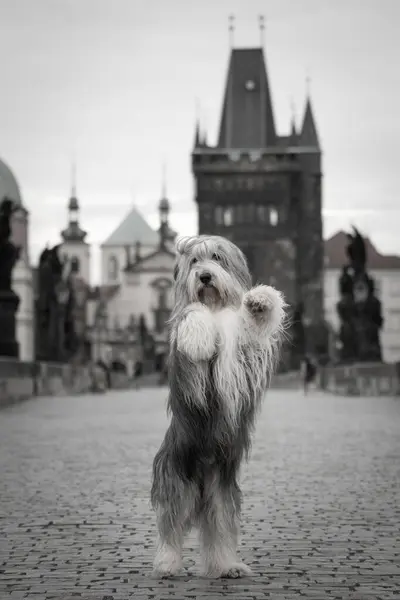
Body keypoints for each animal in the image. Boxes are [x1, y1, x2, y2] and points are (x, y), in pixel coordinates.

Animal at [149, 233, 284, 576]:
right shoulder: (190, 371)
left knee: (219, 529)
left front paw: (261, 300)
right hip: (178, 479)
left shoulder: (244, 356)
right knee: (171, 526)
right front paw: (198, 337)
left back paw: (227, 566)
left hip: (221, 491)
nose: (205, 277)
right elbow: (192, 312)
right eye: (195, 261)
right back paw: (167, 563)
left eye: (217, 258)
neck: (214, 306)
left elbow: (251, 330)